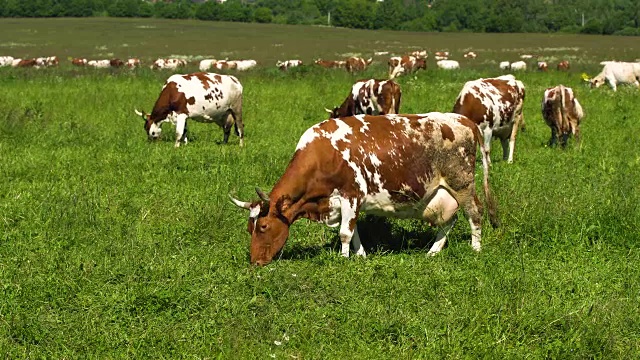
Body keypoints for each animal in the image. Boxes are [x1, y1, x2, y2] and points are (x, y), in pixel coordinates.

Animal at [230, 114, 500, 266]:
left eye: (263, 227)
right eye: (249, 228)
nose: (255, 262)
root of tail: (464, 120)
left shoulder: (350, 194)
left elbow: (344, 233)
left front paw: (343, 259)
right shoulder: (345, 201)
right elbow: (354, 230)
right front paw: (360, 255)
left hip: (462, 183)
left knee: (475, 213)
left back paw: (475, 249)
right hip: (441, 194)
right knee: (449, 221)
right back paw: (433, 251)